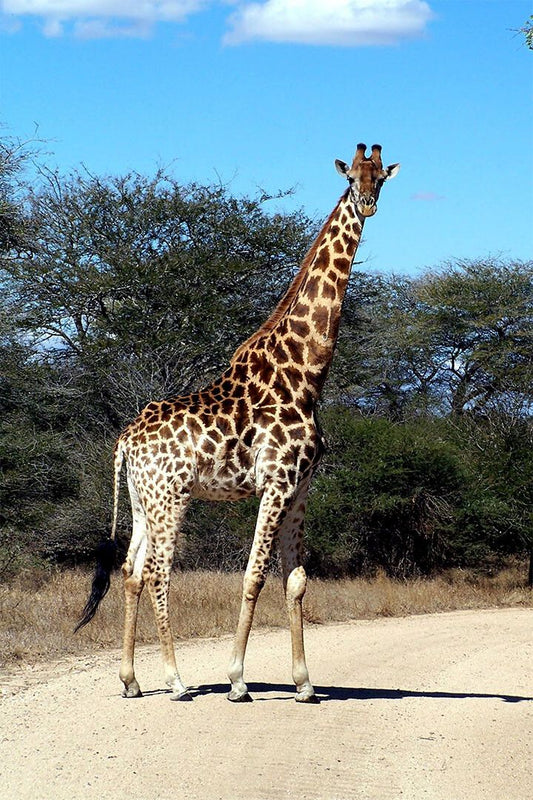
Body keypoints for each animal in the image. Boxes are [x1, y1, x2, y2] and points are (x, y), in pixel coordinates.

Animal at [76, 143, 400, 703]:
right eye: (351, 177)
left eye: (380, 176)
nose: (367, 204)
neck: (305, 374)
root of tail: (124, 440)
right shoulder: (275, 482)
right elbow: (253, 577)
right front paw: (237, 680)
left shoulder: (300, 487)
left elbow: (296, 581)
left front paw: (305, 684)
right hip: (171, 498)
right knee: (158, 573)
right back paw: (176, 681)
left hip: (142, 500)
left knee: (131, 571)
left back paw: (132, 680)